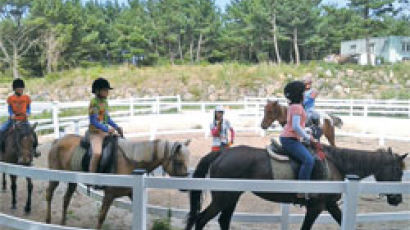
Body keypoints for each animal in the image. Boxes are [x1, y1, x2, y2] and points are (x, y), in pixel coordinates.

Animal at [46, 134, 191, 229]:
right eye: (179, 162)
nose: (186, 186)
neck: (130, 162)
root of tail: (57, 140)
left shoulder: (132, 193)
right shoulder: (109, 195)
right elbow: (101, 217)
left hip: (72, 181)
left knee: (66, 199)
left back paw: (63, 222)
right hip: (54, 177)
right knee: (49, 194)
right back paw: (48, 221)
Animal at [186, 145, 406, 229]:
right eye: (397, 171)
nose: (397, 199)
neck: (337, 164)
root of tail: (222, 153)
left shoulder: (330, 205)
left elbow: (341, 219)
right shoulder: (316, 207)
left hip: (232, 196)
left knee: (223, 220)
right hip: (223, 197)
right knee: (201, 219)